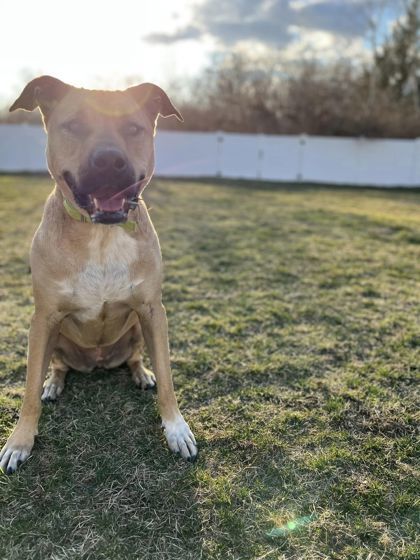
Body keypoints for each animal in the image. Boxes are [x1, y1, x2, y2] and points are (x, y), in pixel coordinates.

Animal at [0, 76, 198, 474]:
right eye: (74, 125)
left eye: (134, 129)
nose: (109, 160)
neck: (101, 234)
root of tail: (98, 361)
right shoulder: (44, 317)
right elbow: (28, 390)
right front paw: (19, 441)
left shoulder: (153, 311)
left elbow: (169, 379)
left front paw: (176, 428)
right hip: (57, 335)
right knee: (56, 365)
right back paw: (53, 383)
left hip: (136, 327)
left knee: (136, 356)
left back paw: (141, 373)